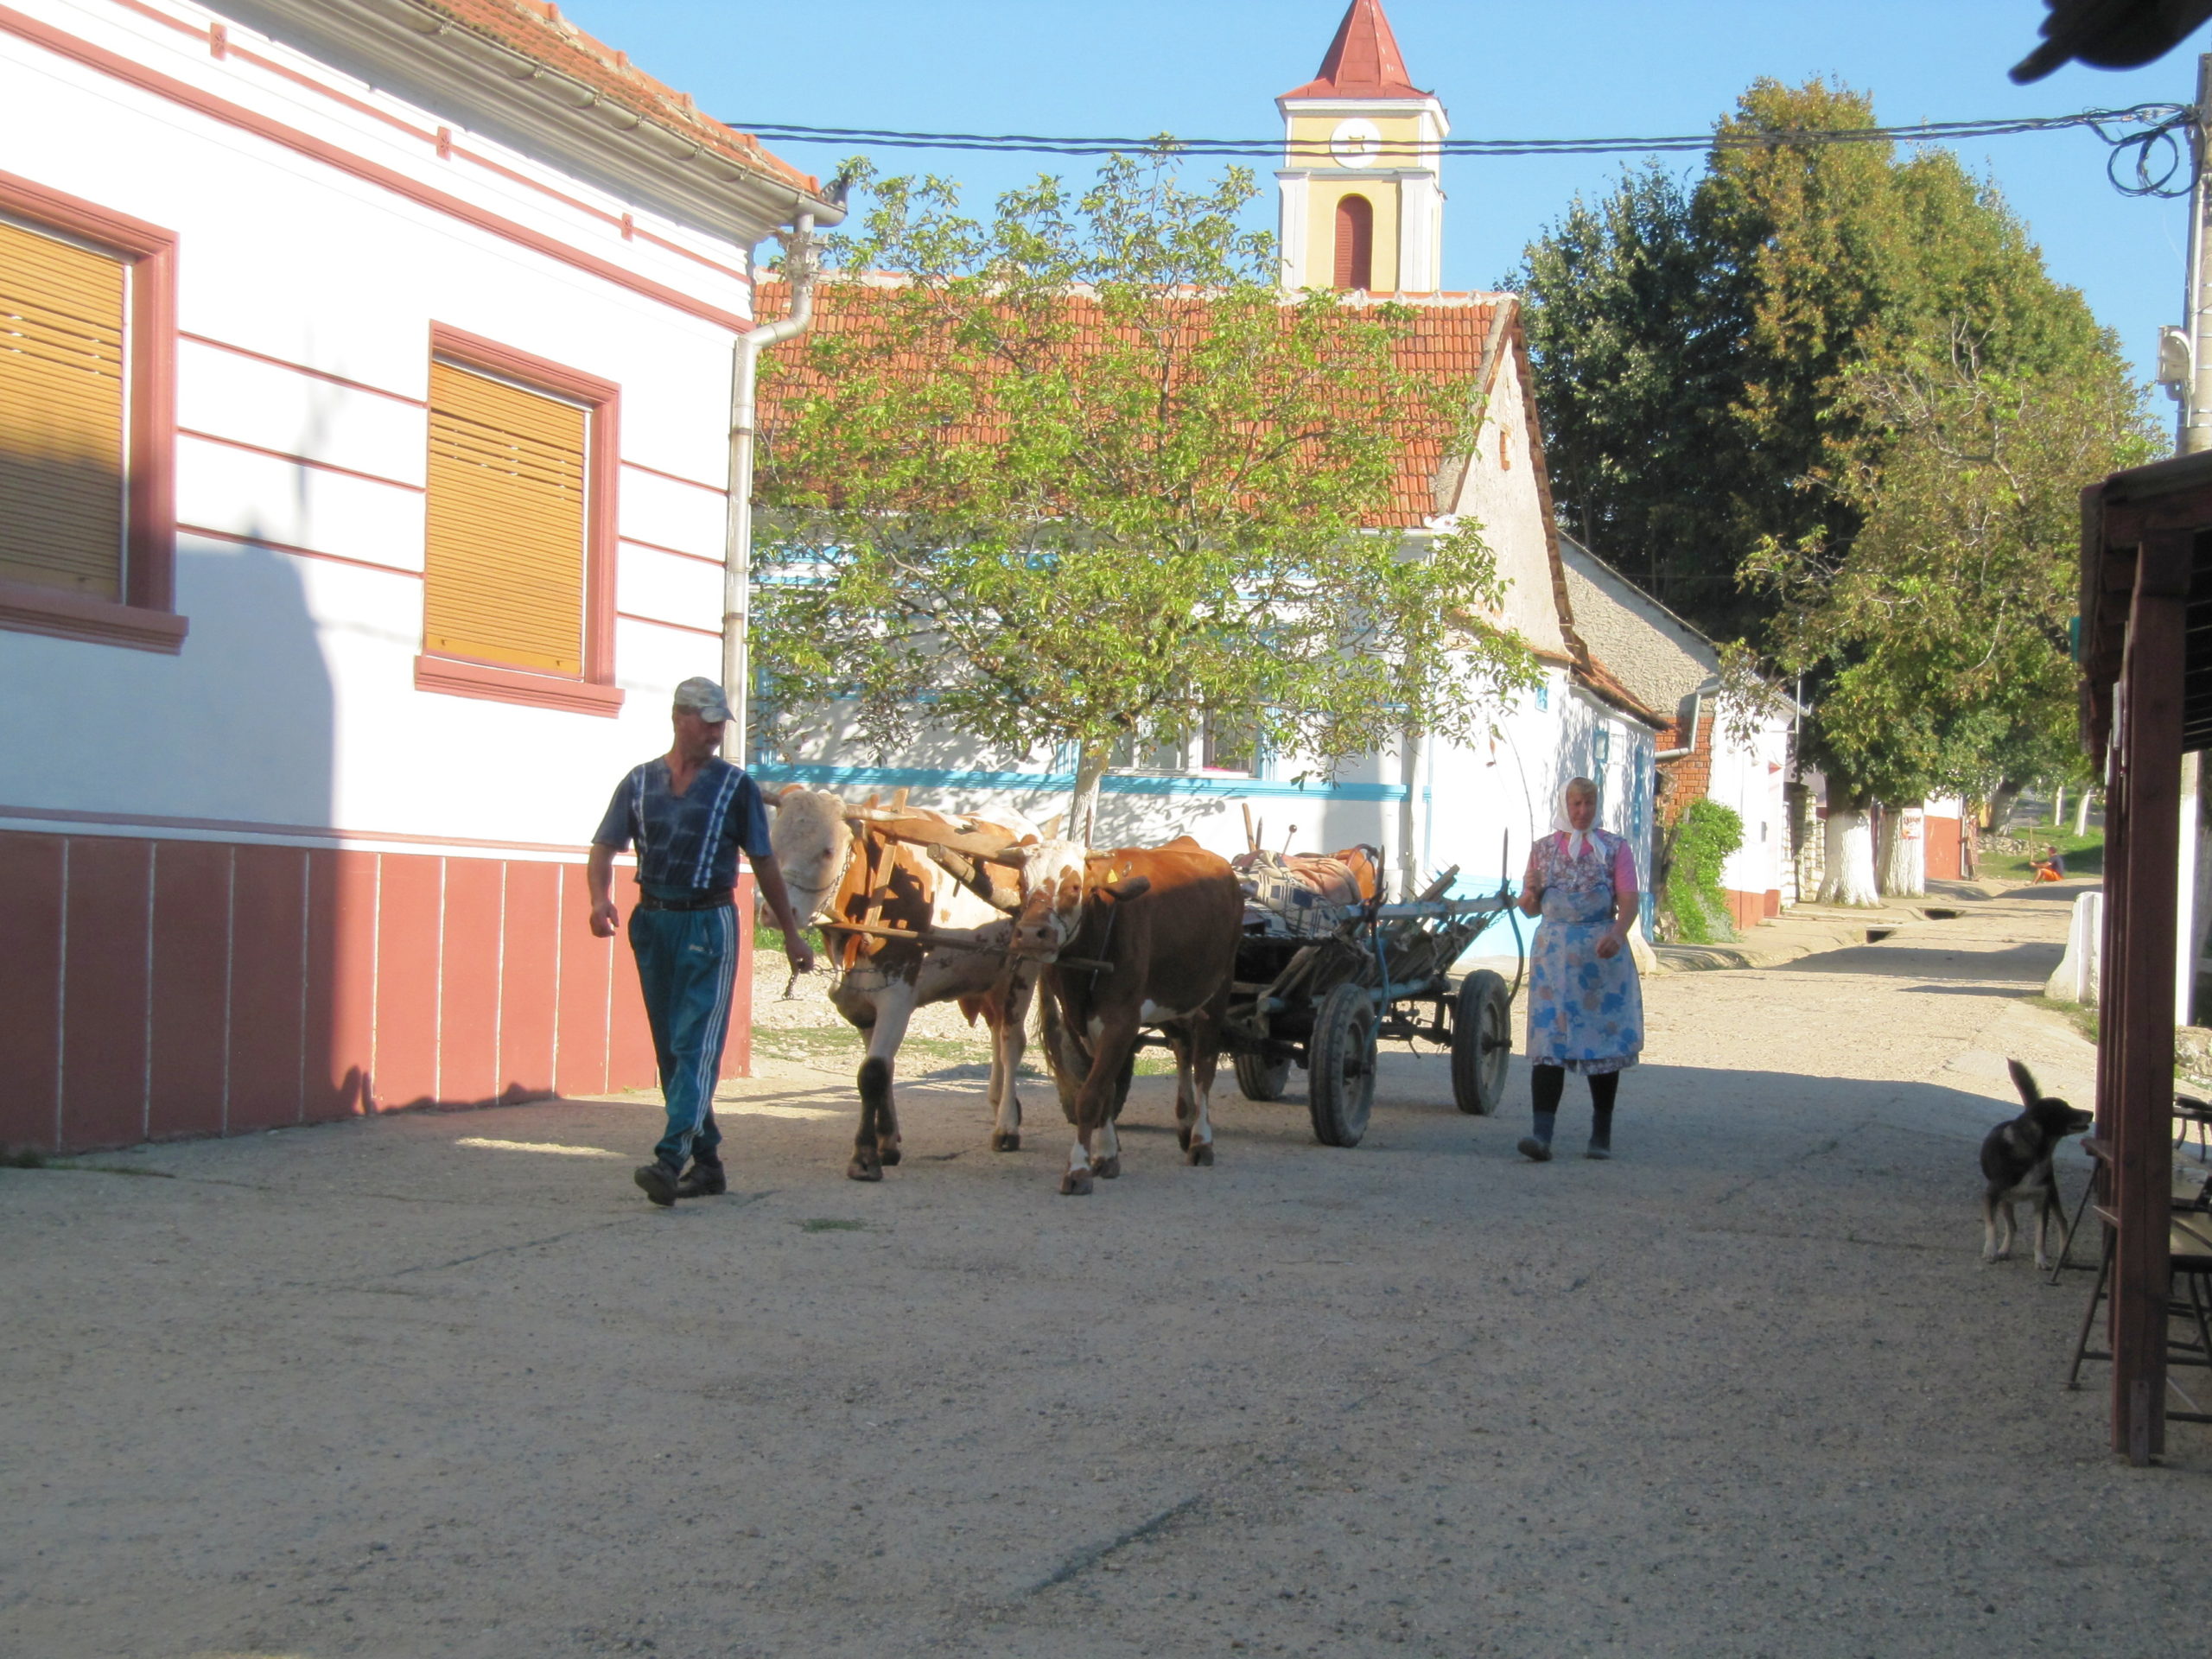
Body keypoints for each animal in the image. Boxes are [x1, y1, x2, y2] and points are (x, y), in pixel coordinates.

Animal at [1991, 1065, 2088, 1274]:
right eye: (2064, 1110)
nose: (2091, 1113)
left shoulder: (2042, 1200)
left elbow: (2040, 1236)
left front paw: (2041, 1260)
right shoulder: (2001, 1196)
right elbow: (2010, 1227)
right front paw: (2001, 1250)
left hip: (2052, 1194)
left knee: (2063, 1221)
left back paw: (2065, 1254)